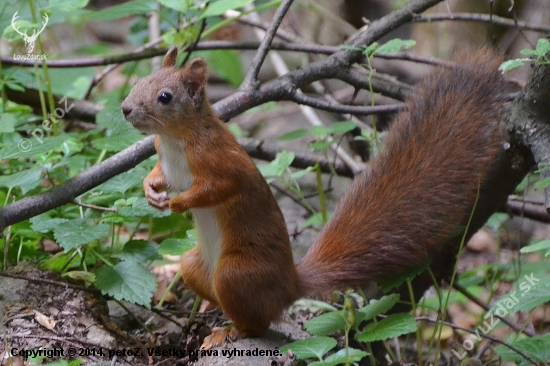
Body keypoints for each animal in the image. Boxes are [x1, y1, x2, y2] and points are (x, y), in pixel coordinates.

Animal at [123, 47, 512, 338]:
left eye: (165, 97)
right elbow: (158, 176)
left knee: (259, 322)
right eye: (139, 81)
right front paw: (151, 191)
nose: (125, 109)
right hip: (195, 265)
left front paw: (178, 203)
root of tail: (290, 286)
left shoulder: (219, 161)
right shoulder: (165, 159)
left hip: (236, 272)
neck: (175, 139)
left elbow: (220, 187)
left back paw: (231, 332)